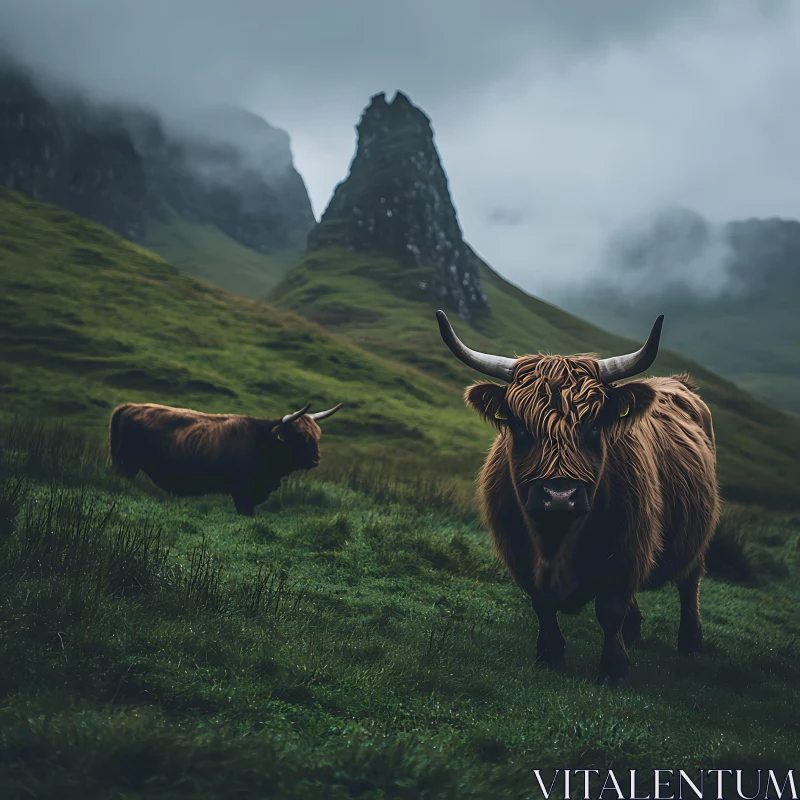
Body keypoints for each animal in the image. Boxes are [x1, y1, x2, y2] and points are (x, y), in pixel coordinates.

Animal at [107, 400, 344, 520]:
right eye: (300, 438)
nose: (316, 460)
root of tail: (129, 406)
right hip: (125, 463)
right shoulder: (243, 492)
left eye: (317, 436)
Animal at [434, 312, 720, 688]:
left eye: (594, 427)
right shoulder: (519, 551)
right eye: (521, 427)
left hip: (699, 535)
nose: (559, 497)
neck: (559, 540)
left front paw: (614, 670)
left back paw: (690, 642)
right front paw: (550, 656)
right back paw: (635, 632)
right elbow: (542, 604)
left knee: (690, 582)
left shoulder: (627, 547)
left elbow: (609, 609)